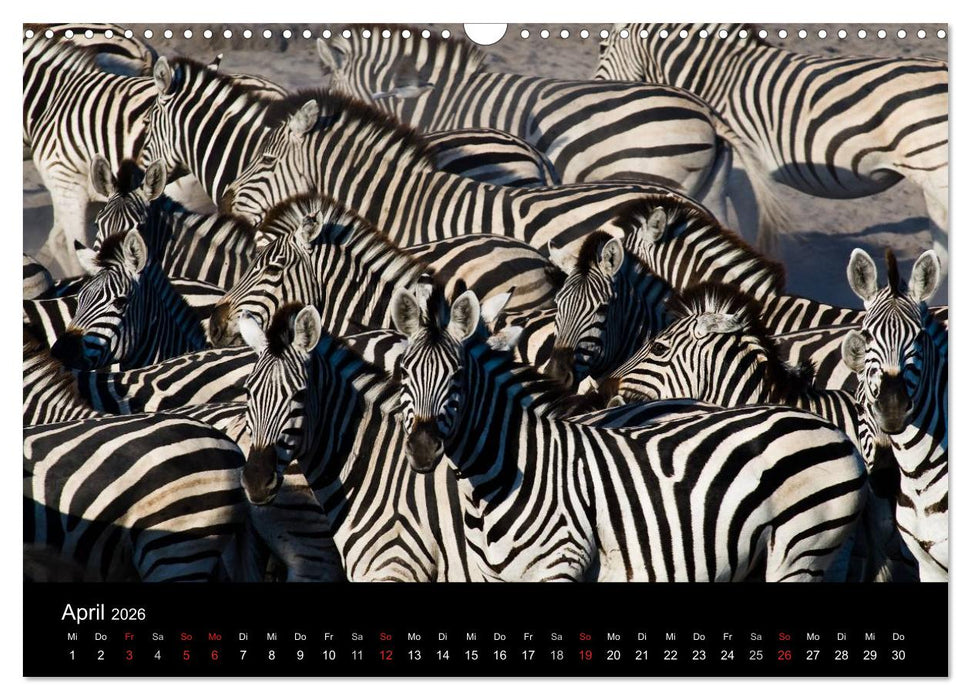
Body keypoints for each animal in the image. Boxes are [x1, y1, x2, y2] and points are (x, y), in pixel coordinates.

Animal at [387, 283, 866, 581]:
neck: (511, 467)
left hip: (801, 549)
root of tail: (831, 429)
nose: (422, 449)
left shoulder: (563, 565)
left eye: (457, 378)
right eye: (403, 372)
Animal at [596, 24, 949, 262]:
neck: (719, 76)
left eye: (600, 47)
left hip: (935, 177)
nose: (600, 92)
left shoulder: (744, 168)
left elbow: (751, 227)